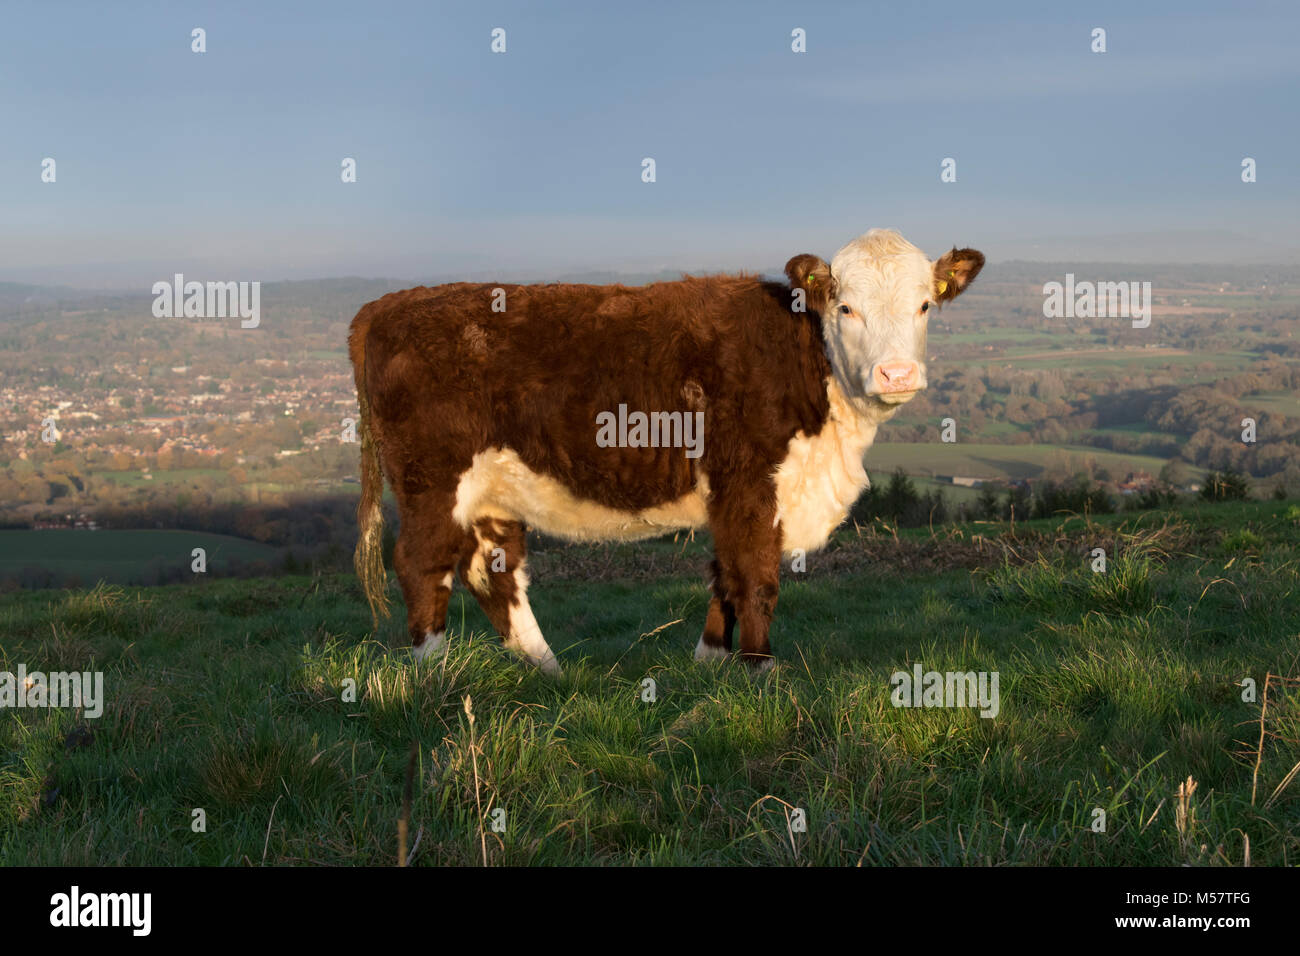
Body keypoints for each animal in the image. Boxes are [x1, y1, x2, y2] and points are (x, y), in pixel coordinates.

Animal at [351, 227, 977, 671]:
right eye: (846, 307)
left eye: (925, 305)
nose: (896, 374)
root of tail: (383, 307)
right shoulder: (748, 481)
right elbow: (755, 576)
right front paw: (760, 673)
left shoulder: (740, 496)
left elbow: (725, 575)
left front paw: (708, 665)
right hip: (430, 478)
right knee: (421, 564)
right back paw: (434, 675)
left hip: (493, 489)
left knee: (493, 570)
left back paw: (550, 675)